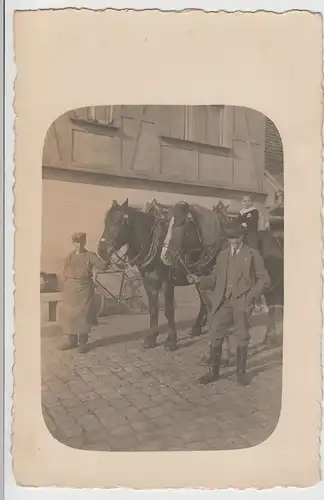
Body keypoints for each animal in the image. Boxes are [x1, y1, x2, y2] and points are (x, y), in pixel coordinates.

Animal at [96, 199, 220, 352]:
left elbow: (168, 310)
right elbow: (153, 309)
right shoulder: (149, 283)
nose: (101, 250)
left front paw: (171, 340)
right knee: (204, 300)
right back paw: (197, 327)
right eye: (106, 221)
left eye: (120, 221)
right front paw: (151, 338)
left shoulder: (167, 283)